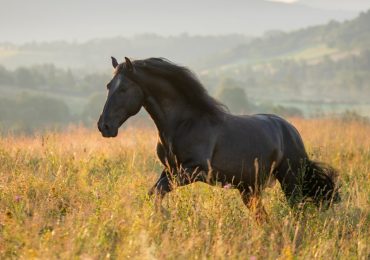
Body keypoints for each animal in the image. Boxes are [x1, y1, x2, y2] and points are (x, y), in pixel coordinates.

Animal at [97, 57, 340, 217]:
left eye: (123, 89)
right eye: (108, 86)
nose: (104, 126)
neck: (183, 123)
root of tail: (291, 131)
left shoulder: (193, 170)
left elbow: (157, 192)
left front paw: (164, 218)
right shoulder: (169, 170)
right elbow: (153, 193)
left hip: (290, 181)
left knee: (296, 210)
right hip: (249, 189)